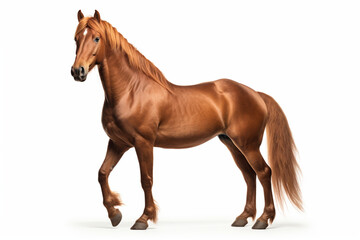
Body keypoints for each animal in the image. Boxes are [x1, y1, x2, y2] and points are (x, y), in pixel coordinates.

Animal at [70, 9, 300, 231]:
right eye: (76, 38)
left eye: (97, 38)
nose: (77, 71)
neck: (131, 91)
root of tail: (256, 94)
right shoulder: (118, 143)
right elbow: (102, 173)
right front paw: (114, 214)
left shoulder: (143, 143)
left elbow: (146, 180)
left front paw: (143, 219)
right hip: (232, 144)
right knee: (249, 175)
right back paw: (243, 218)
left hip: (248, 145)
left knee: (264, 173)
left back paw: (263, 219)